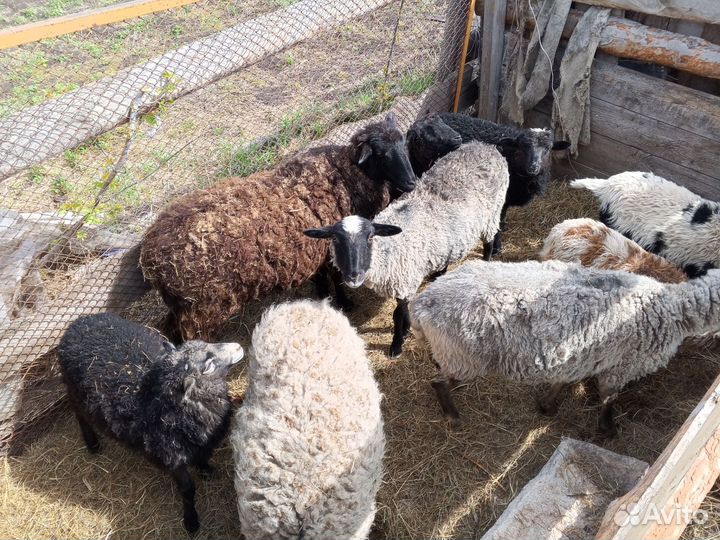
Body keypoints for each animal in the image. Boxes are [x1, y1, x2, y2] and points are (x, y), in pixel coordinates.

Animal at [58, 312, 243, 533]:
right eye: (208, 365)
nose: (239, 347)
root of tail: (76, 324)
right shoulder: (173, 459)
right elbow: (188, 490)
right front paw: (191, 521)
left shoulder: (201, 444)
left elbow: (203, 458)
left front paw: (207, 471)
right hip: (75, 394)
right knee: (80, 415)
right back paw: (92, 443)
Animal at [140, 112, 416, 340]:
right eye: (380, 154)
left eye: (403, 143)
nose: (411, 182)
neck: (345, 173)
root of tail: (149, 259)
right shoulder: (333, 247)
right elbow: (337, 279)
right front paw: (344, 303)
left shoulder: (315, 248)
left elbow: (321, 278)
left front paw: (322, 296)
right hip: (200, 309)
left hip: (181, 307)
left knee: (170, 329)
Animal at [304, 141, 509, 357]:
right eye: (335, 239)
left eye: (370, 237)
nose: (353, 276)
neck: (389, 248)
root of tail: (485, 146)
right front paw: (406, 330)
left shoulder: (405, 281)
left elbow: (398, 314)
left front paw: (397, 344)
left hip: (492, 212)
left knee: (489, 242)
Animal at [409, 259, 720, 435]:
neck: (676, 309)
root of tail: (422, 304)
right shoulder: (622, 366)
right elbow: (608, 398)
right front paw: (608, 429)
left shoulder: (581, 356)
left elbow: (564, 380)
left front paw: (547, 405)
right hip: (462, 357)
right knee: (438, 382)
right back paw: (453, 416)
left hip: (456, 355)